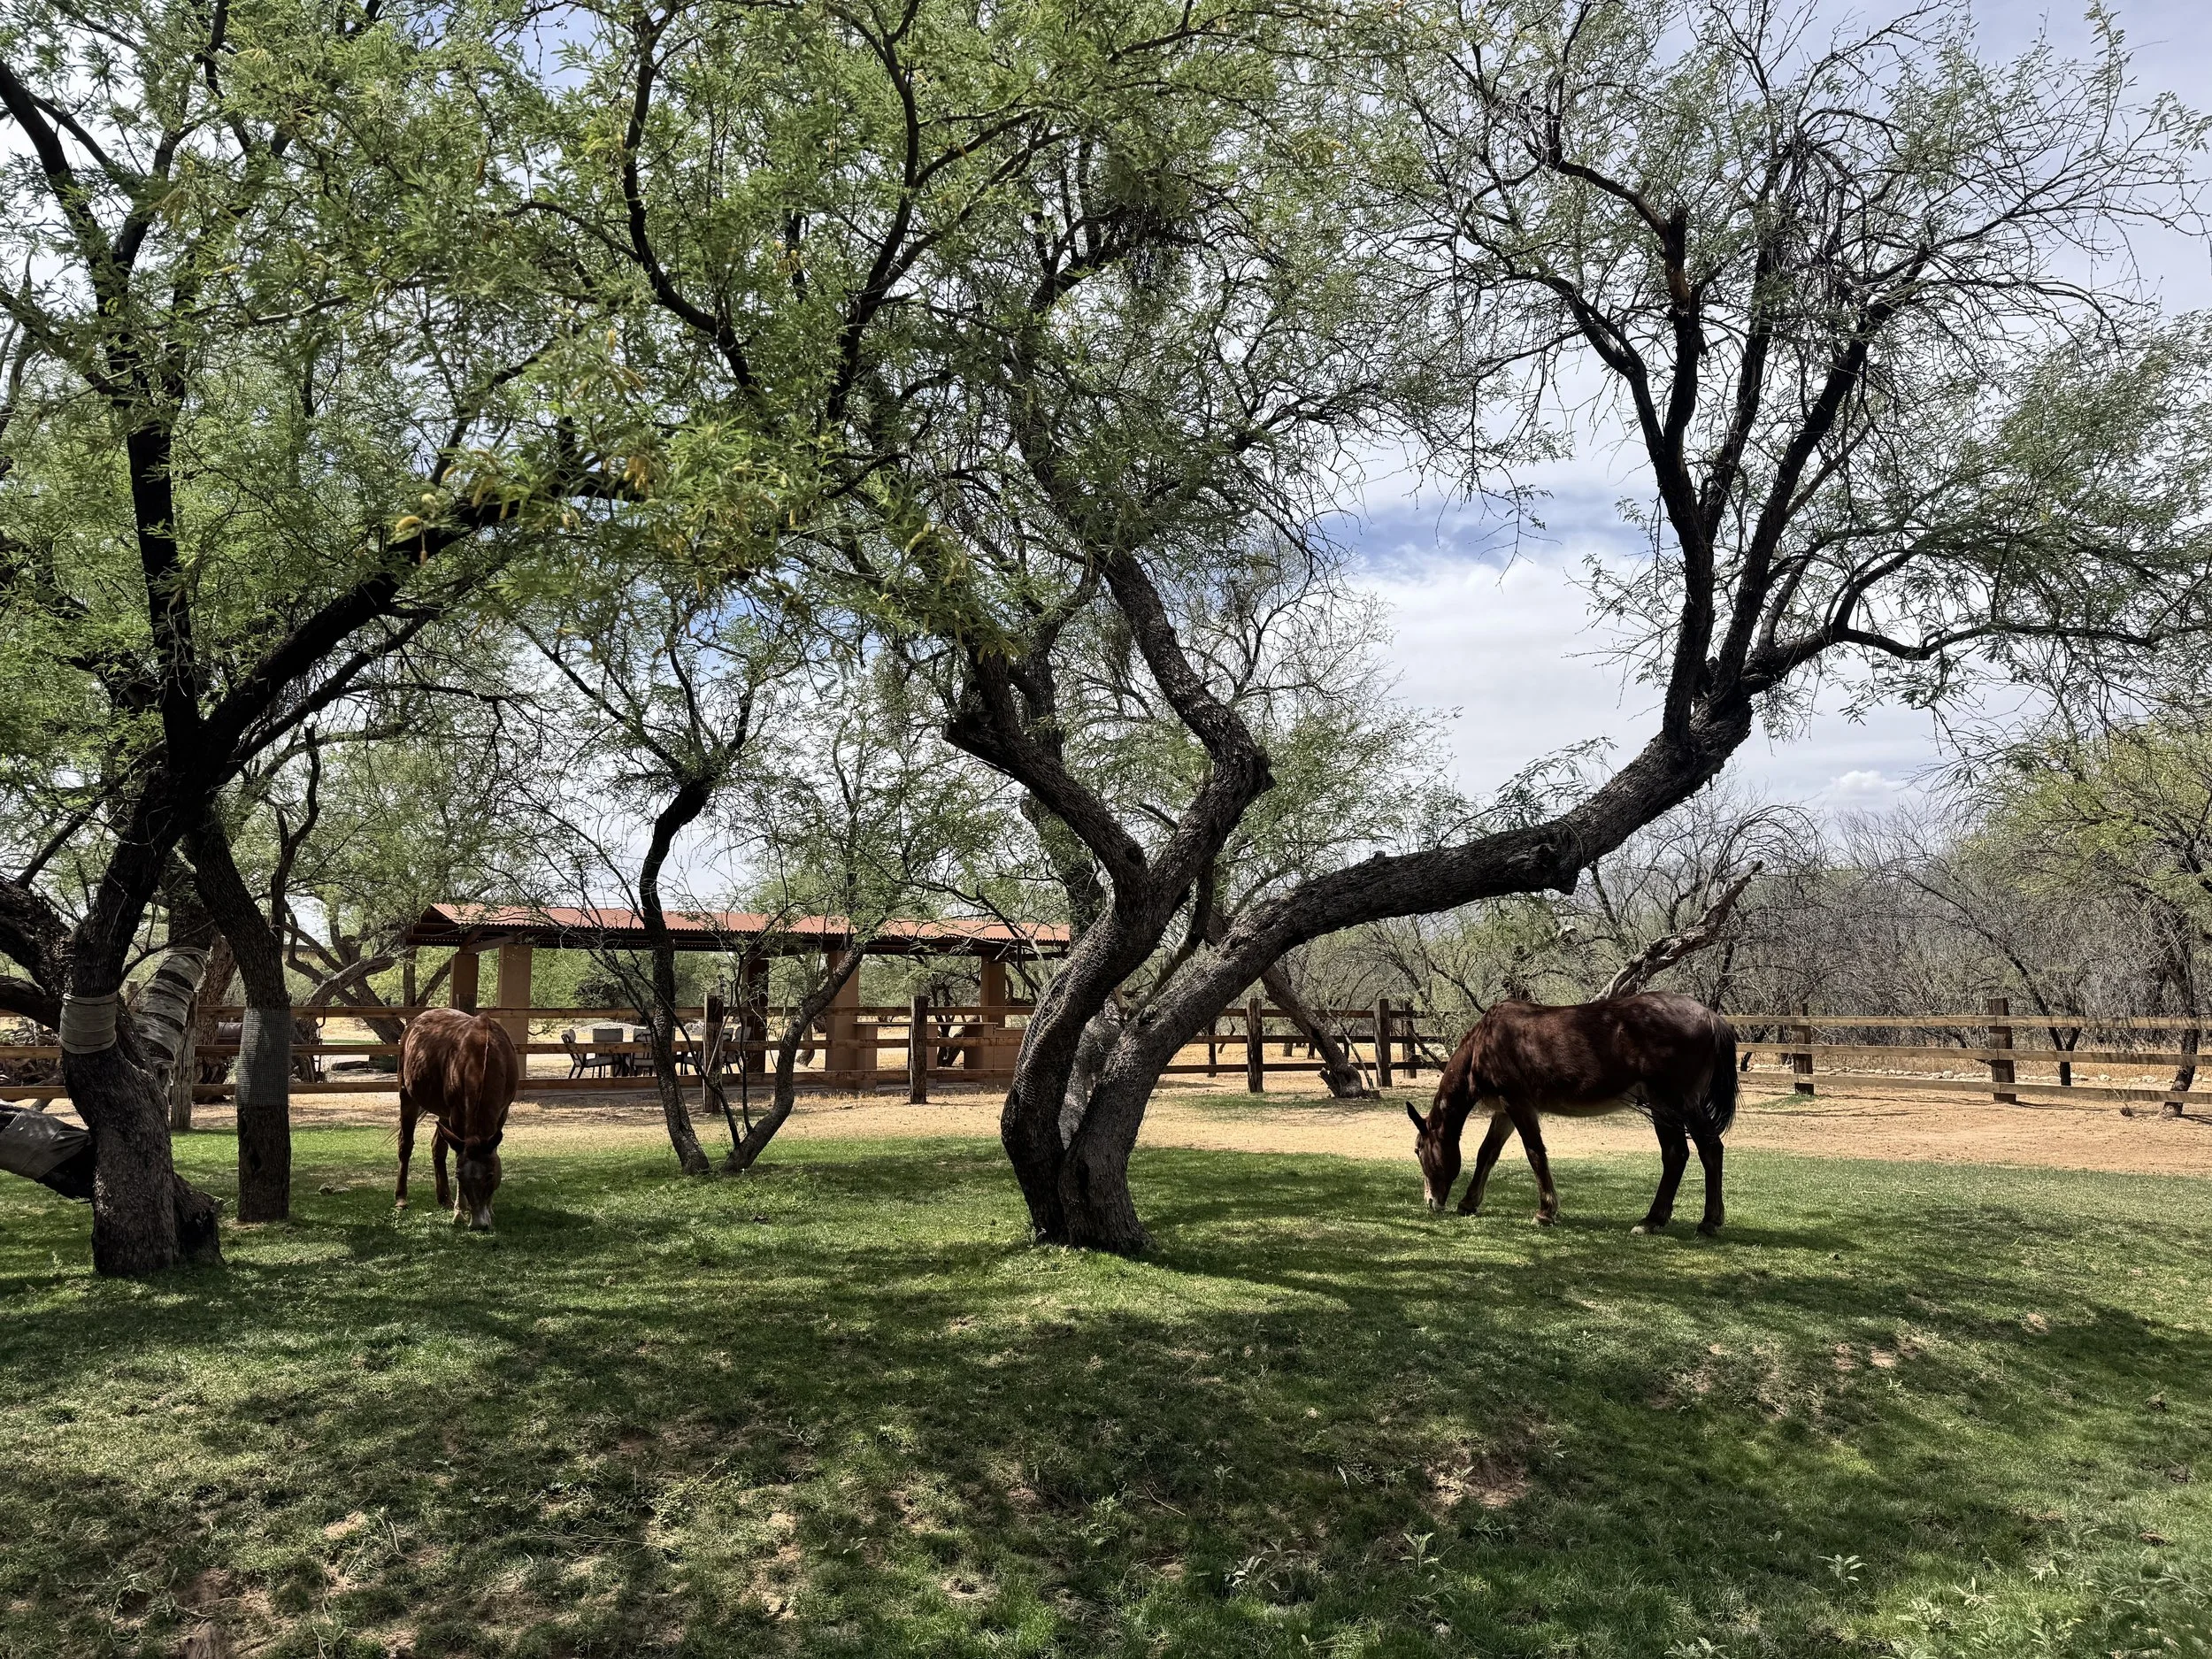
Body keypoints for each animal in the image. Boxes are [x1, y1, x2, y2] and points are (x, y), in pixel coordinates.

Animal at [396, 1008, 519, 1230]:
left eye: (490, 1175)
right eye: (459, 1175)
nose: (478, 1224)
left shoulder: (502, 1112)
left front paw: (489, 1210)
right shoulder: (458, 1115)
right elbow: (458, 1154)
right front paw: (460, 1212)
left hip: (444, 1114)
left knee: (437, 1147)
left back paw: (444, 1197)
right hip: (408, 1096)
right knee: (406, 1144)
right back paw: (401, 1198)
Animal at [1409, 992, 1737, 1235]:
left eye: (1417, 1150)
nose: (1430, 1202)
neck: (1486, 1042)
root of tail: (1710, 1016)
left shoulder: (1518, 1104)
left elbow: (1535, 1153)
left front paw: (1545, 1212)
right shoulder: (1505, 1111)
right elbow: (1486, 1153)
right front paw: (1469, 1202)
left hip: (1674, 1103)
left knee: (1697, 1150)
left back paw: (1686, 1221)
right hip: (1668, 1107)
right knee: (1684, 1153)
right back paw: (1669, 1219)